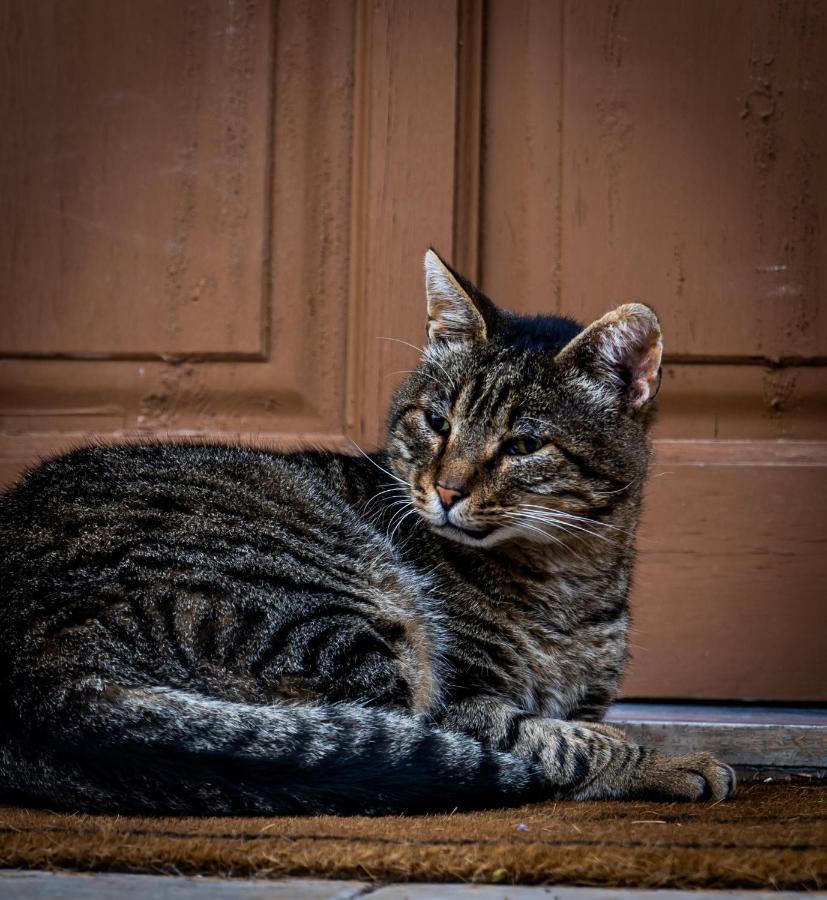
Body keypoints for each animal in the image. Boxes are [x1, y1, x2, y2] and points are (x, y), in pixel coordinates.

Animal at [1, 250, 736, 812]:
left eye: (523, 444)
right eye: (437, 421)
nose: (446, 490)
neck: (570, 584)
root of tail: (39, 686)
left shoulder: (585, 695)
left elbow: (572, 727)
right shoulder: (462, 699)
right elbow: (551, 738)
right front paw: (669, 760)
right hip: (339, 606)